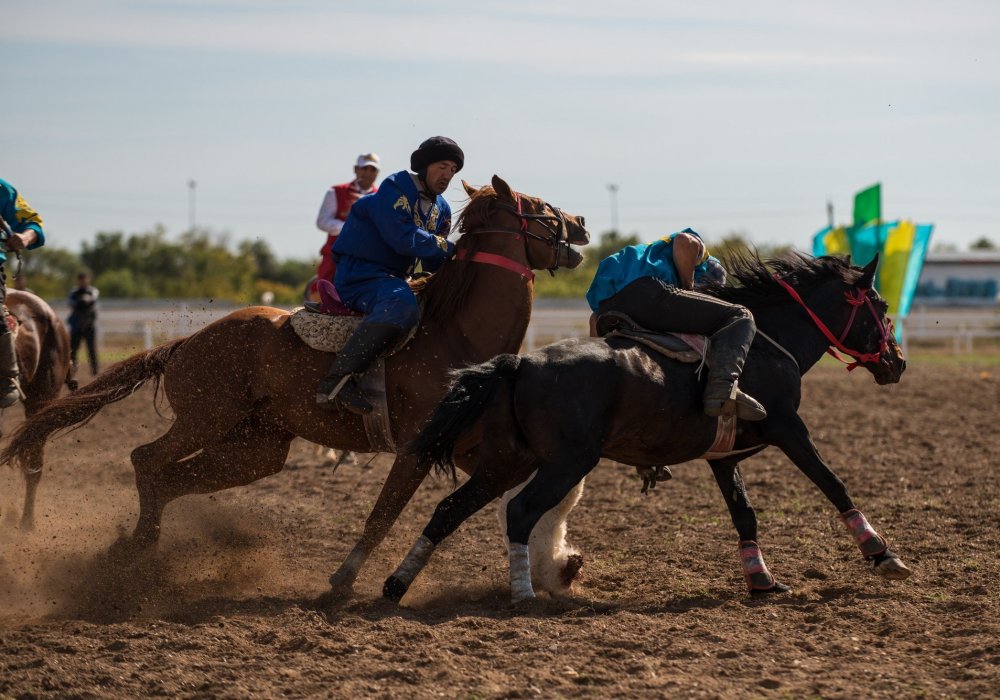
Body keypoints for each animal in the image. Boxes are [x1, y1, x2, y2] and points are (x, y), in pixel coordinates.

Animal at [384, 254, 916, 604]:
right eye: (882, 304)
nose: (898, 363)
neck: (768, 340)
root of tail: (521, 363)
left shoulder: (723, 457)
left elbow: (745, 515)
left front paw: (761, 580)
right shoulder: (789, 428)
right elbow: (833, 483)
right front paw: (882, 554)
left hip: (508, 461)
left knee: (449, 510)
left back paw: (396, 584)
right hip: (564, 462)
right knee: (519, 513)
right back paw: (522, 593)